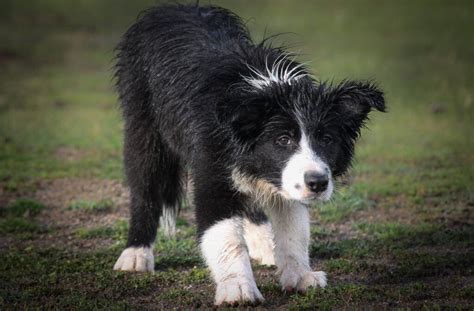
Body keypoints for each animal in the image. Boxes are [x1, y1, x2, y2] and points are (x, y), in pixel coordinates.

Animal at [114, 3, 386, 306]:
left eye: (326, 139)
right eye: (283, 139)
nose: (317, 183)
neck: (266, 88)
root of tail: (170, 8)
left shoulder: (282, 178)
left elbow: (294, 229)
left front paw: (300, 276)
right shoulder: (212, 169)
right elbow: (225, 235)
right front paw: (238, 289)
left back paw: (265, 245)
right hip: (144, 125)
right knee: (145, 186)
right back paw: (136, 254)